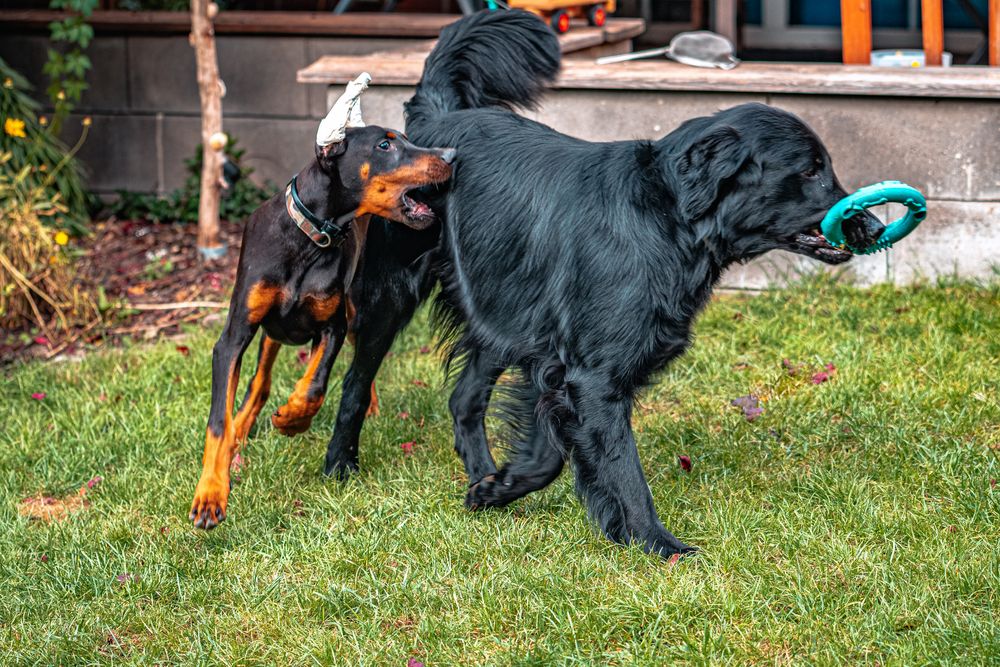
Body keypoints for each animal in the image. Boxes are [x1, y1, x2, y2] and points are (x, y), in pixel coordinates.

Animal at [188, 87, 454, 528]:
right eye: (385, 145)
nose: (451, 154)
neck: (311, 239)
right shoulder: (234, 334)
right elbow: (218, 421)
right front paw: (211, 495)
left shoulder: (332, 325)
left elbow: (316, 384)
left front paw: (293, 419)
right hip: (270, 326)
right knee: (259, 382)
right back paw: (244, 429)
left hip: (360, 303)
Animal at [394, 11, 888, 560]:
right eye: (810, 170)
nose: (872, 225)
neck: (667, 216)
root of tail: (437, 125)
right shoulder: (593, 377)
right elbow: (623, 472)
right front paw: (659, 544)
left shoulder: (554, 363)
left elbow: (548, 454)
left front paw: (498, 487)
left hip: (499, 312)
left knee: (465, 399)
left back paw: (481, 473)